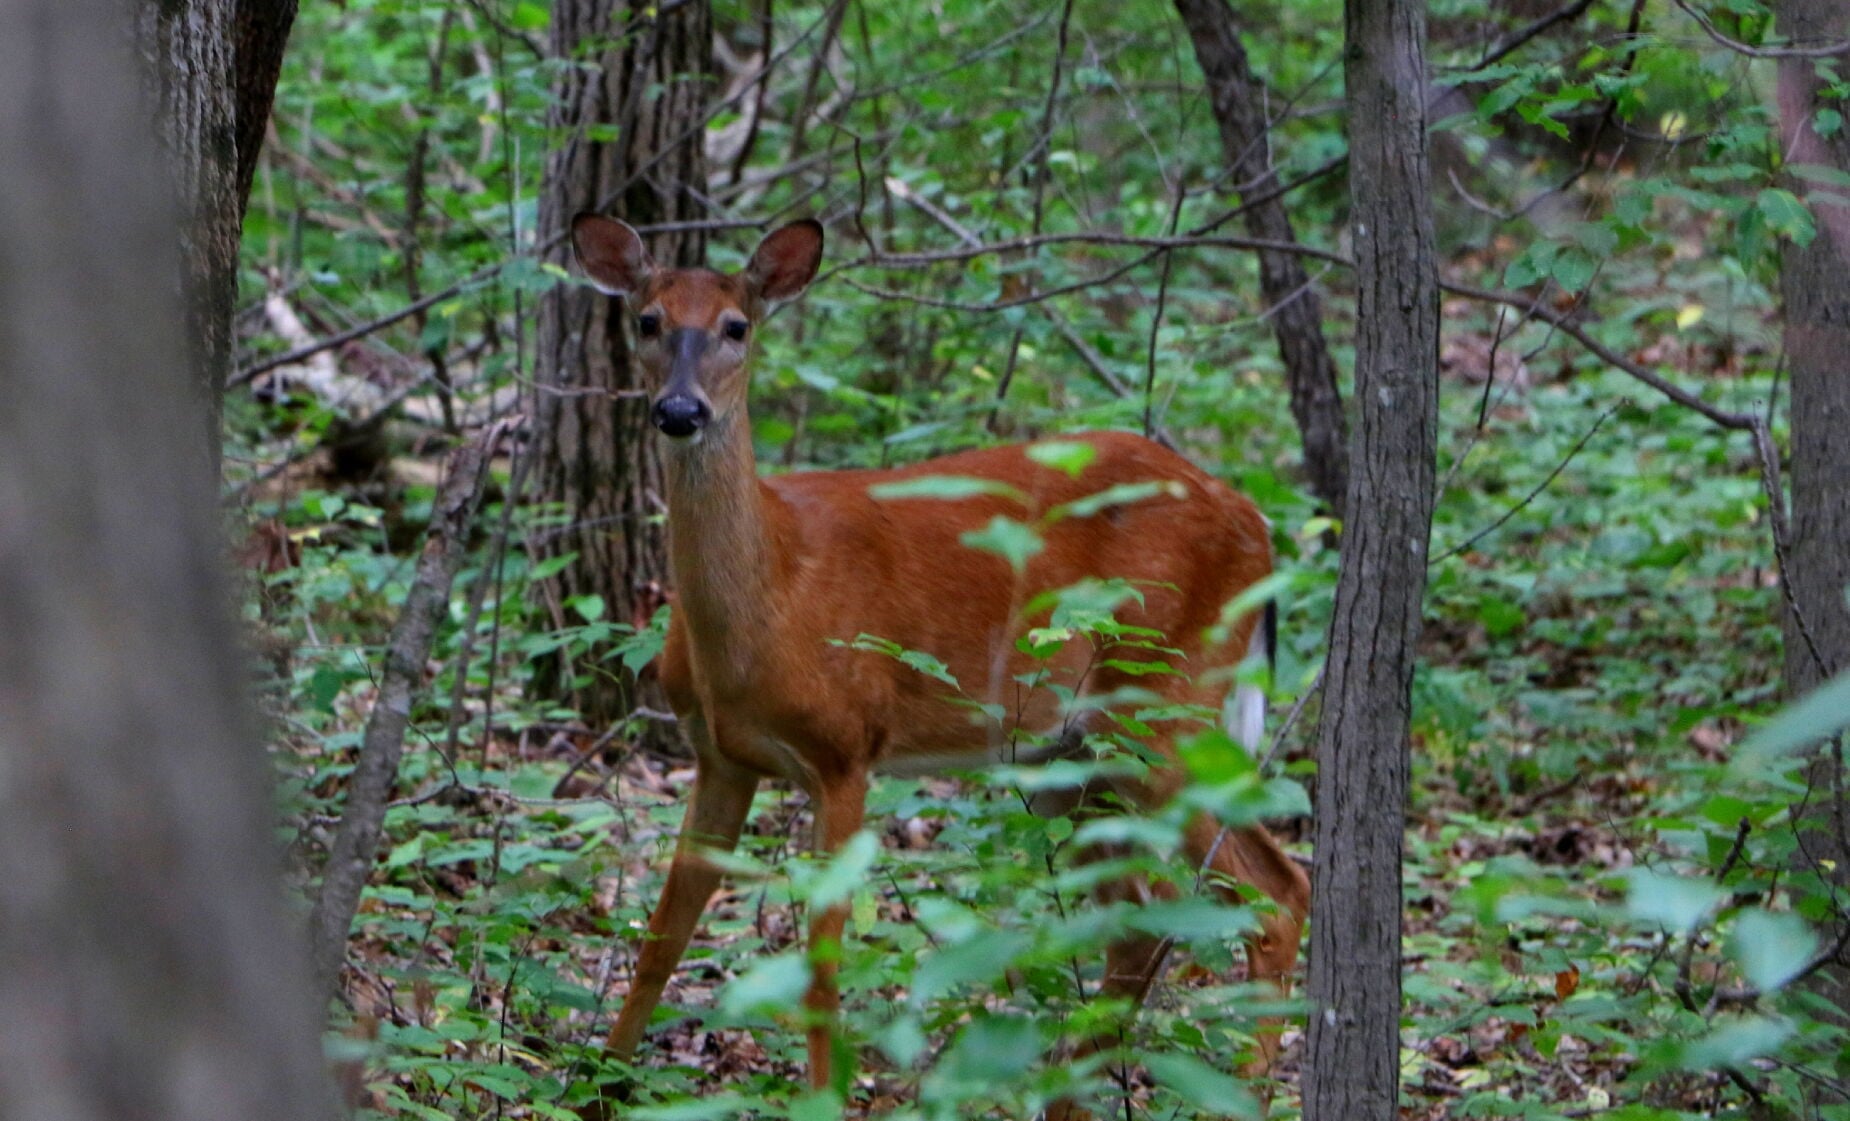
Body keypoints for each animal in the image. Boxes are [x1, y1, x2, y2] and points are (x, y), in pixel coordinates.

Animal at [570, 213, 1311, 1115]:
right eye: (647, 319)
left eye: (736, 327)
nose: (680, 409)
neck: (767, 601)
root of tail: (1257, 524)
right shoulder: (719, 755)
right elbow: (662, 935)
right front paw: (596, 1087)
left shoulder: (846, 747)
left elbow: (822, 962)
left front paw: (823, 1095)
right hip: (1070, 755)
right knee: (1142, 918)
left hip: (1163, 704)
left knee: (1273, 894)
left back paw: (1241, 1090)